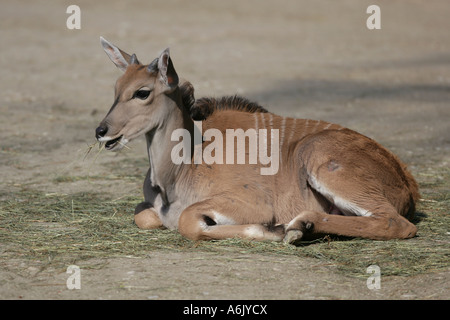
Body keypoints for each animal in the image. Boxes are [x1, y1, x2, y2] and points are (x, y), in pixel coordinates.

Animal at [95, 37, 418, 242]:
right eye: (116, 88)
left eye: (142, 92)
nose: (101, 131)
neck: (185, 165)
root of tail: (405, 181)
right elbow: (145, 216)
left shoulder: (252, 203)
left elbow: (187, 221)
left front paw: (273, 230)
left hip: (319, 158)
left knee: (395, 222)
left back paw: (300, 226)